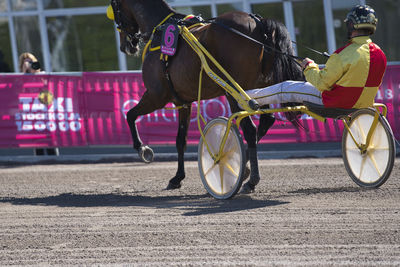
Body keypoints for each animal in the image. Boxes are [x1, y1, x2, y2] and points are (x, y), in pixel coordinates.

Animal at [108, 0, 302, 194]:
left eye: (114, 10)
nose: (125, 46)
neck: (160, 30)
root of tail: (258, 23)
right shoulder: (182, 102)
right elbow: (180, 140)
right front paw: (177, 178)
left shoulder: (156, 96)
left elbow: (130, 115)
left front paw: (142, 148)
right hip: (260, 88)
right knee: (266, 121)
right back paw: (243, 166)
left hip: (234, 91)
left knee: (250, 129)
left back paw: (250, 179)